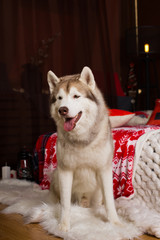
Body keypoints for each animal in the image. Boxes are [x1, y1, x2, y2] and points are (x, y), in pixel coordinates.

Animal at [47, 66, 120, 232]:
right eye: (59, 98)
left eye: (76, 96)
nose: (63, 110)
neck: (82, 139)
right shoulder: (65, 170)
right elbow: (65, 204)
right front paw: (63, 225)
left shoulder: (104, 169)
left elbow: (110, 201)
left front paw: (115, 223)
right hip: (56, 174)